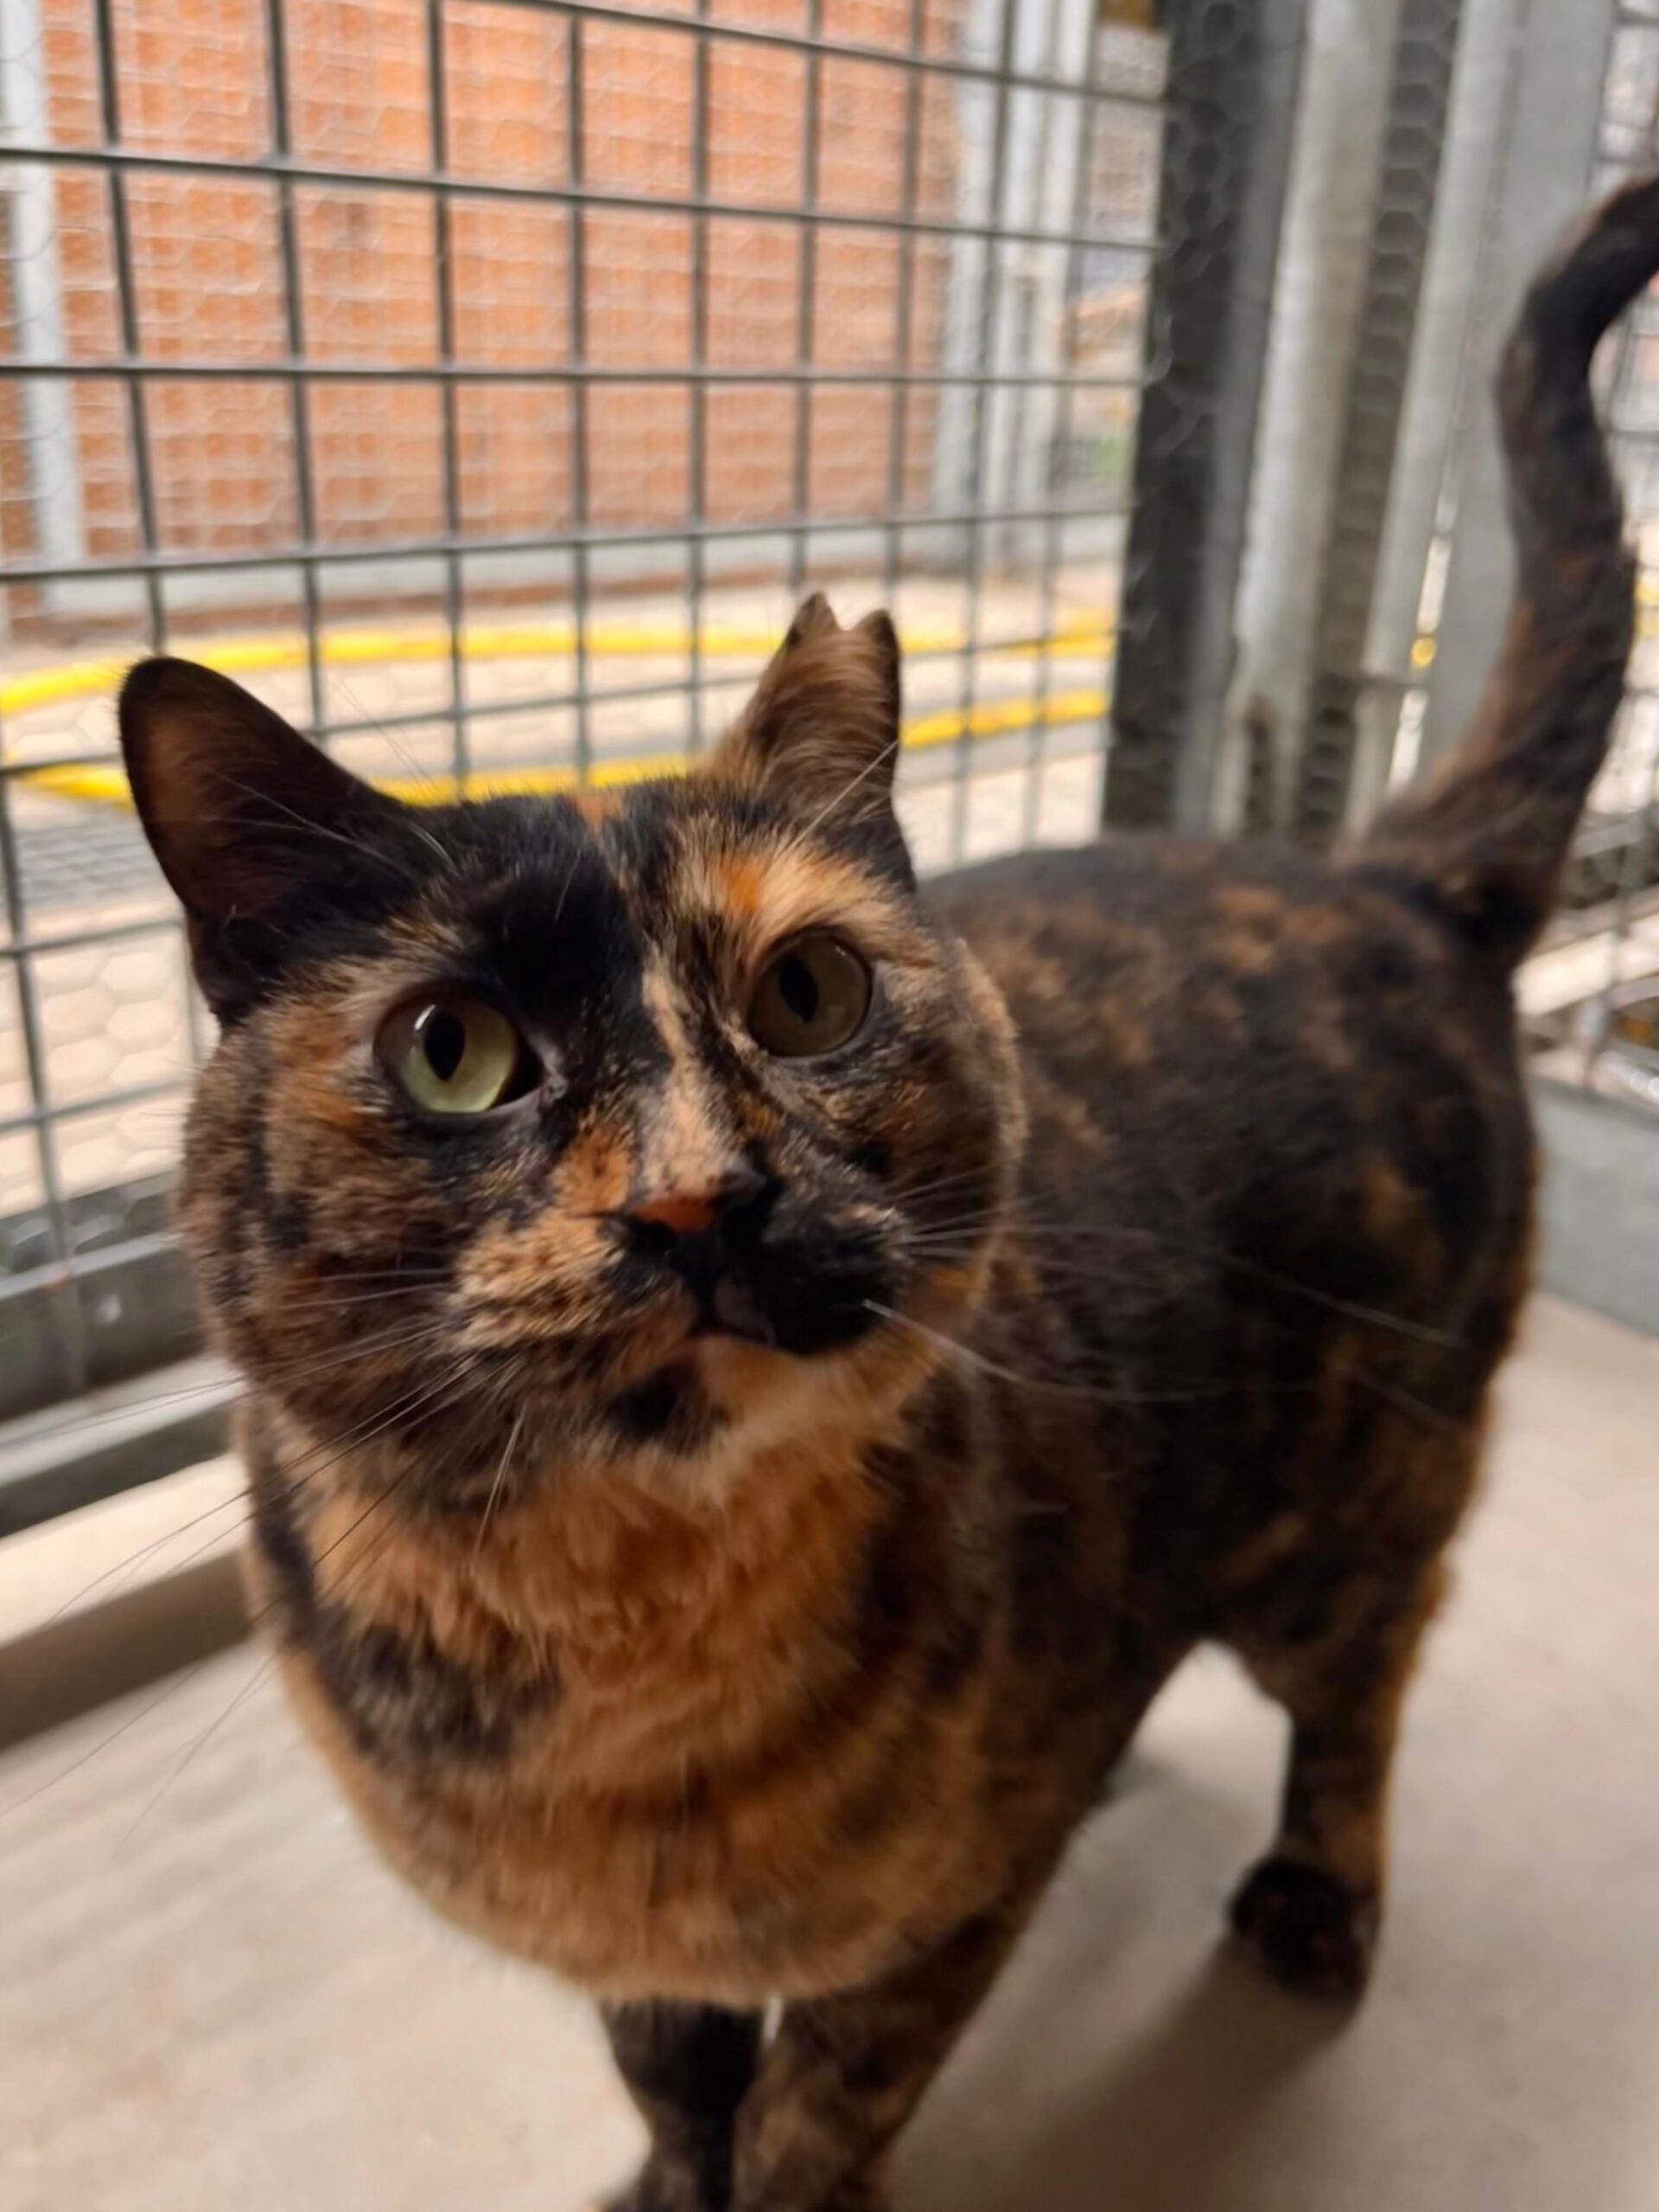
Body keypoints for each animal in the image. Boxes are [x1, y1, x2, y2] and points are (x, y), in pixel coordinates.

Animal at [117, 172, 1657, 2212]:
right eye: (453, 1050)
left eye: (810, 995)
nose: (698, 1199)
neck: (625, 1667)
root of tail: (1381, 872)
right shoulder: (641, 1964)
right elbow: (670, 2075)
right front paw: (661, 2179)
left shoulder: (935, 1926)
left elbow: (817, 2103)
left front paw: (779, 2178)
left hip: (1366, 1502)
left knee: (1365, 1692)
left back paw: (1317, 1895)